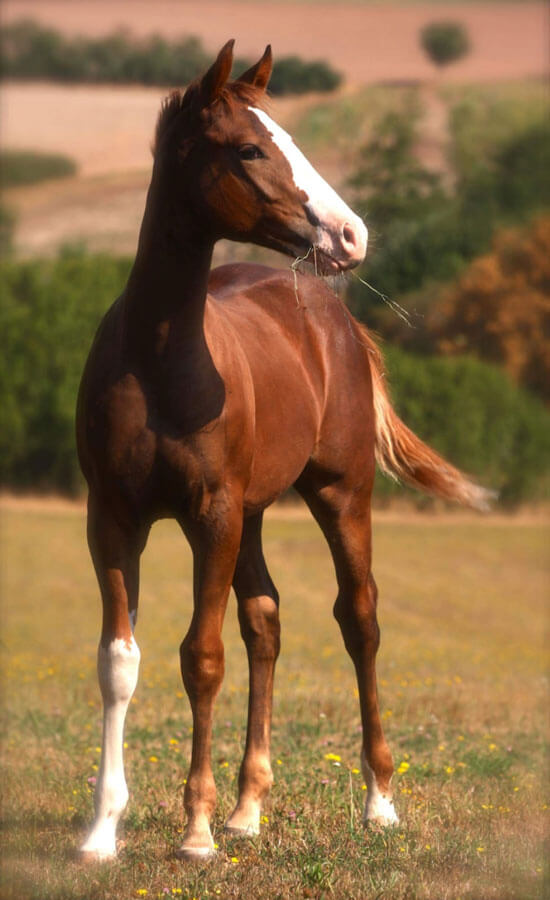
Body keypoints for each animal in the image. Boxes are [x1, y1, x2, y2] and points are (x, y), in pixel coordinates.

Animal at [77, 41, 490, 861]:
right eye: (248, 149)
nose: (352, 234)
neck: (158, 360)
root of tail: (336, 319)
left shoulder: (210, 514)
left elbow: (201, 659)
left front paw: (195, 832)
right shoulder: (113, 519)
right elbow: (120, 663)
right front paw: (104, 830)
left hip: (339, 492)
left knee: (359, 618)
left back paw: (378, 801)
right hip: (256, 513)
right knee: (264, 621)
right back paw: (248, 808)